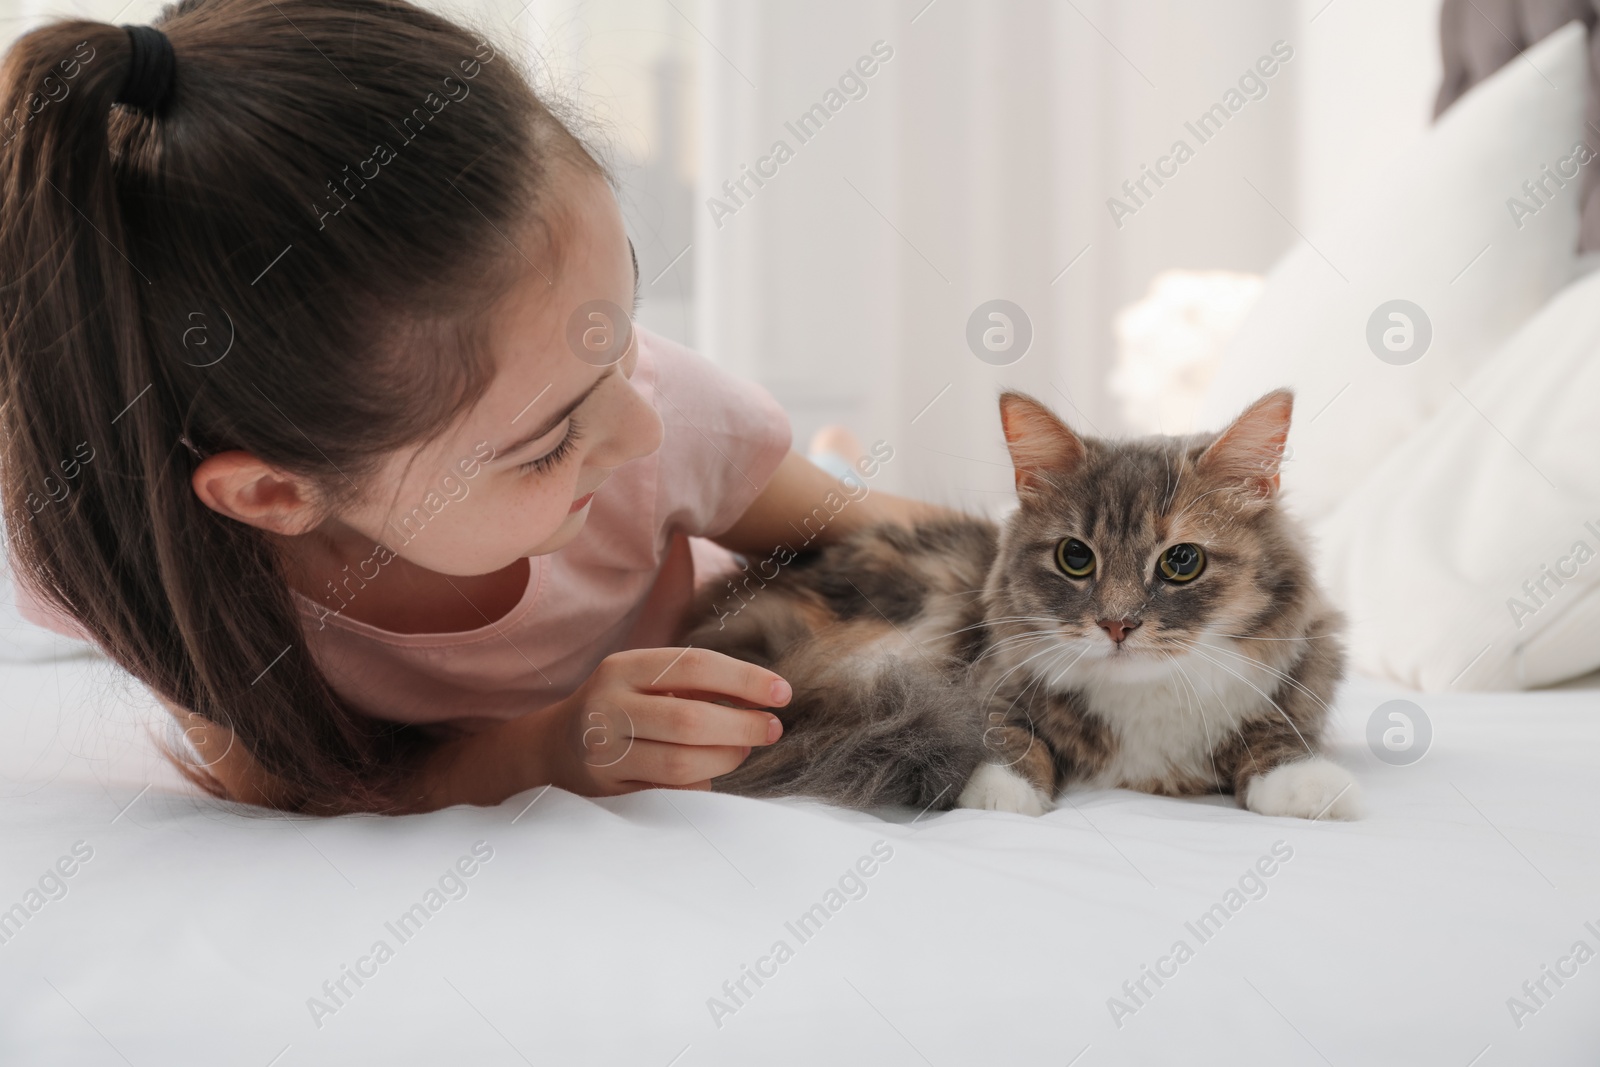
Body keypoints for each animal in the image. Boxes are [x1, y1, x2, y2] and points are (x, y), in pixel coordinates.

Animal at [688, 388, 1363, 825]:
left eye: (1181, 562)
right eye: (1075, 557)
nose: (1117, 624)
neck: (1145, 702)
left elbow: (1275, 735)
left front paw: (1310, 787)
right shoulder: (984, 674)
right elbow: (1004, 732)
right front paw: (1000, 792)